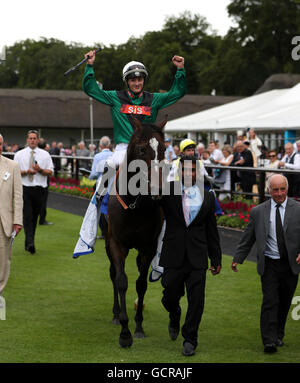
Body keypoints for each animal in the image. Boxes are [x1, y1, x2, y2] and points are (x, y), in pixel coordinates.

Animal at [105, 117, 166, 348]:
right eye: (141, 149)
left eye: (163, 148)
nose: (158, 189)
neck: (134, 205)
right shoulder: (116, 243)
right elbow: (121, 280)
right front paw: (125, 332)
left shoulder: (148, 246)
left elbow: (141, 285)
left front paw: (138, 327)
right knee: (113, 274)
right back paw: (115, 315)